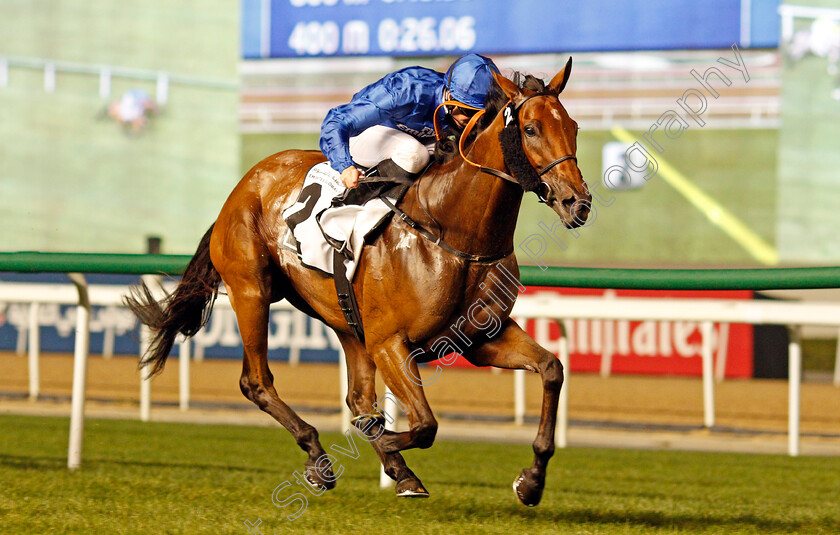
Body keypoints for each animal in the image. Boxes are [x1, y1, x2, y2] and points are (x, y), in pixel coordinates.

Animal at [128, 62, 592, 506]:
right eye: (530, 129)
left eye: (573, 127)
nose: (578, 202)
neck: (456, 235)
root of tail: (247, 182)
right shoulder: (391, 343)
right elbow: (424, 424)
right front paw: (387, 451)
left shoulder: (479, 338)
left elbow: (552, 369)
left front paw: (531, 481)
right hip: (251, 291)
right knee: (257, 382)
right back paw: (320, 458)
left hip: (343, 318)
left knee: (356, 396)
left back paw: (394, 467)